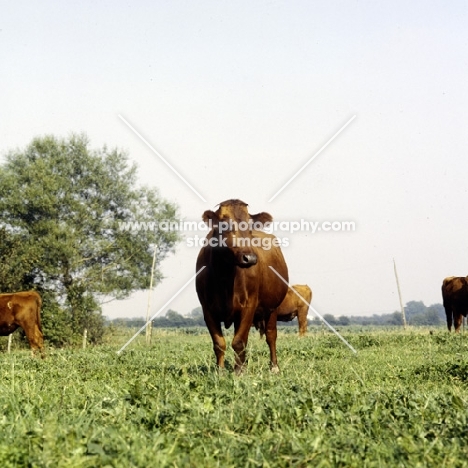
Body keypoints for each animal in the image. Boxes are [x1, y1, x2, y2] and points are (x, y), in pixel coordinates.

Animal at [195, 199, 288, 374]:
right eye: (224, 225)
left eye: (250, 226)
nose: (249, 258)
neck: (224, 276)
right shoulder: (207, 309)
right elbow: (219, 343)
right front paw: (220, 371)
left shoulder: (249, 305)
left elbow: (239, 341)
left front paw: (238, 372)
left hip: (272, 307)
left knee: (271, 336)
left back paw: (274, 367)